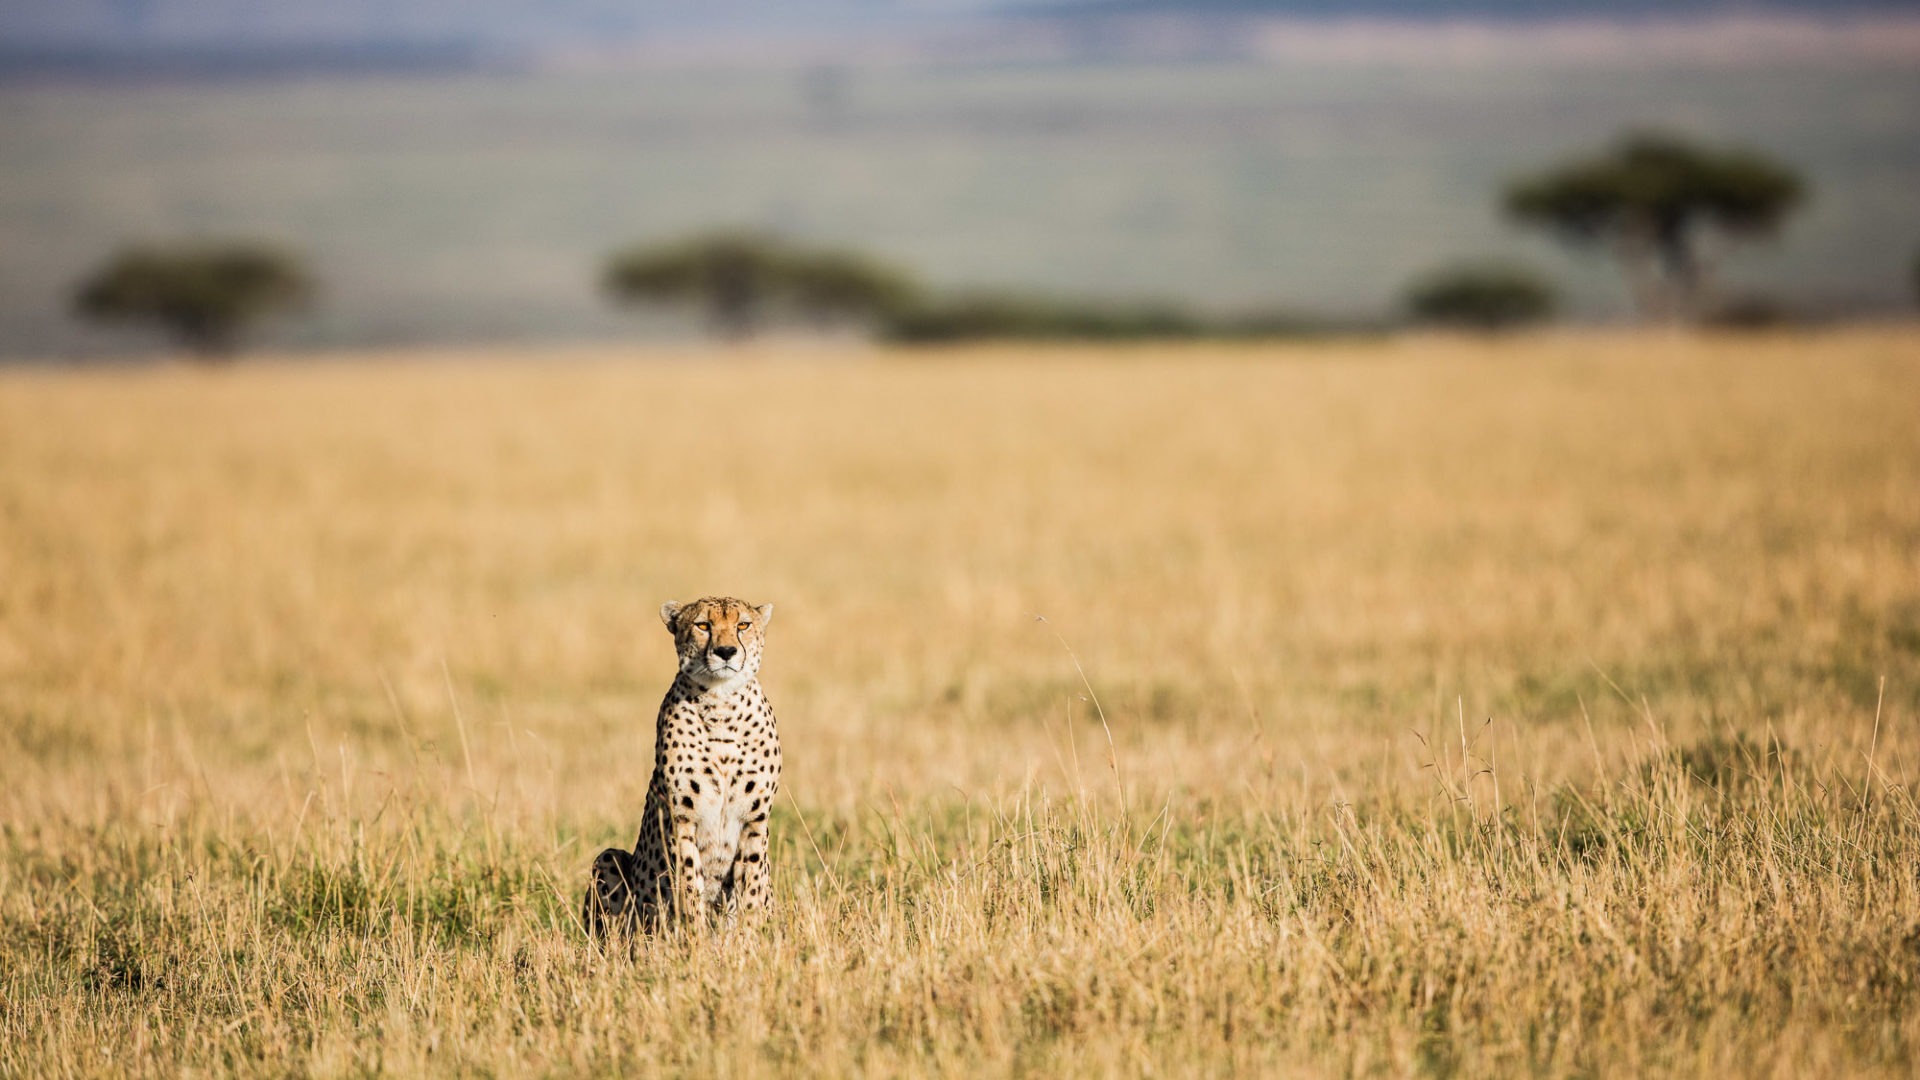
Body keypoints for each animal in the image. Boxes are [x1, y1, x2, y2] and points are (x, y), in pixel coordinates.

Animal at [583, 596, 781, 935]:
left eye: (743, 625)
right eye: (703, 625)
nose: (726, 651)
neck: (721, 704)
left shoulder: (755, 820)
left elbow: (752, 889)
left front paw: (751, 940)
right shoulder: (682, 820)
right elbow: (689, 888)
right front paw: (694, 941)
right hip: (609, 860)